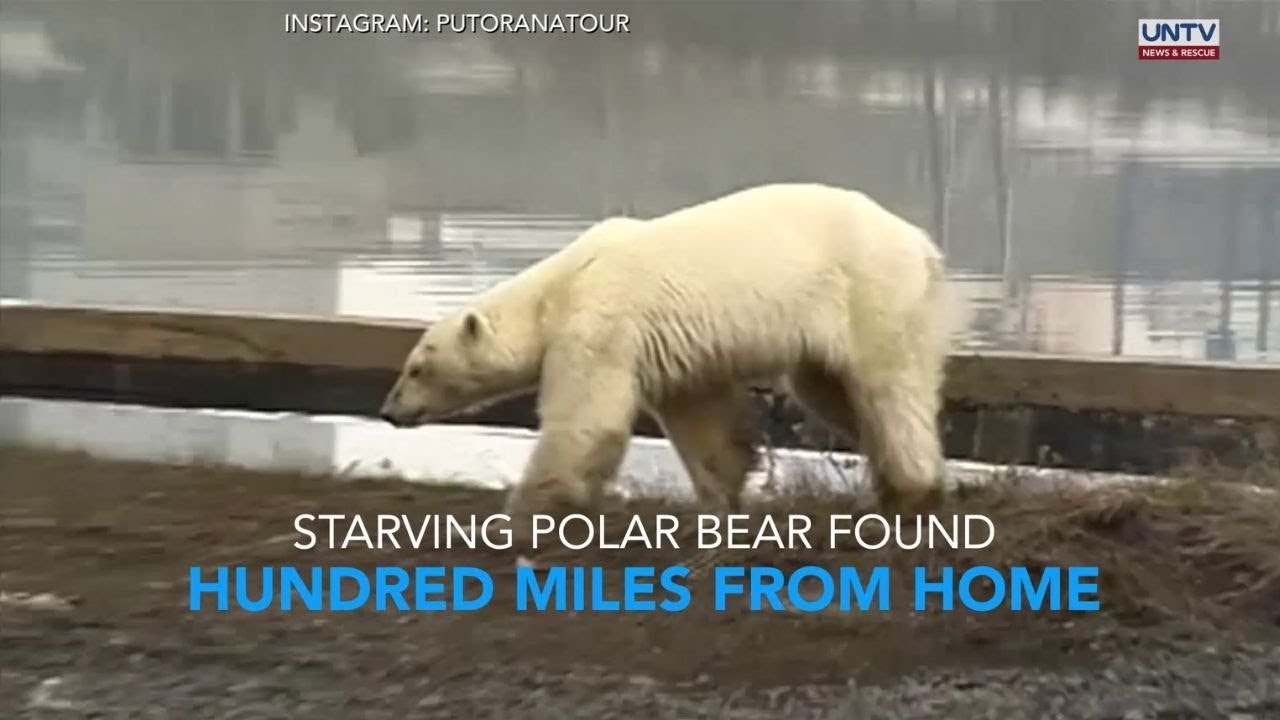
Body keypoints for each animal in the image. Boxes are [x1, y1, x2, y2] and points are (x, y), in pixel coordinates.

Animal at [379, 182, 950, 540]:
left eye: (416, 368)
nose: (389, 410)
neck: (554, 290)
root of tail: (922, 242)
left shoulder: (598, 328)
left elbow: (586, 424)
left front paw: (514, 521)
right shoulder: (672, 351)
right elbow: (698, 418)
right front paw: (720, 503)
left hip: (868, 292)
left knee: (888, 388)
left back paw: (910, 492)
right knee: (832, 390)